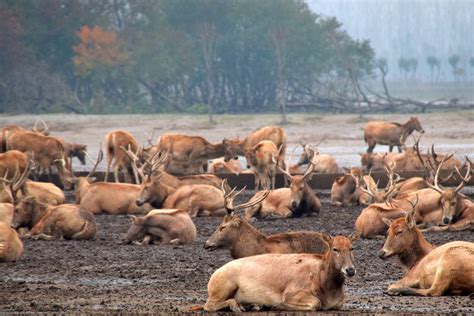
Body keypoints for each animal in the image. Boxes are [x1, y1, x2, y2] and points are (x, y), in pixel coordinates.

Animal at [200, 231, 360, 312]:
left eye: (352, 248)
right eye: (335, 249)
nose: (350, 270)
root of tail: (214, 276)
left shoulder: (338, 303)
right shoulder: (291, 293)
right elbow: (316, 304)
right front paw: (276, 305)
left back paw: (251, 305)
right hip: (223, 288)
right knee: (208, 305)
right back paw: (238, 306)